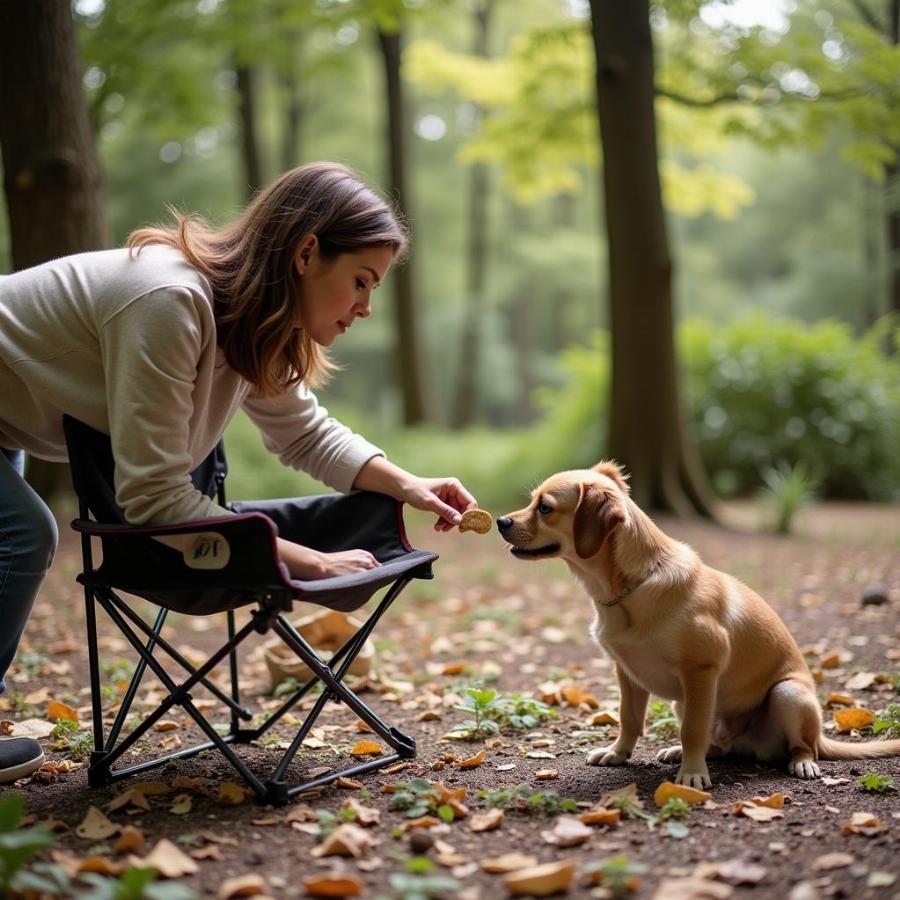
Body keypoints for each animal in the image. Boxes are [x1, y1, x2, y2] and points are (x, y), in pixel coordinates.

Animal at [500, 464, 900, 788]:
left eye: (545, 507)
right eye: (532, 501)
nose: (502, 521)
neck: (632, 588)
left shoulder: (700, 671)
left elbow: (692, 730)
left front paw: (692, 775)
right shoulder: (627, 673)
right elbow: (630, 720)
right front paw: (618, 753)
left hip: (787, 694)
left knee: (801, 746)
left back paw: (800, 763)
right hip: (687, 703)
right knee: (717, 745)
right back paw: (682, 752)